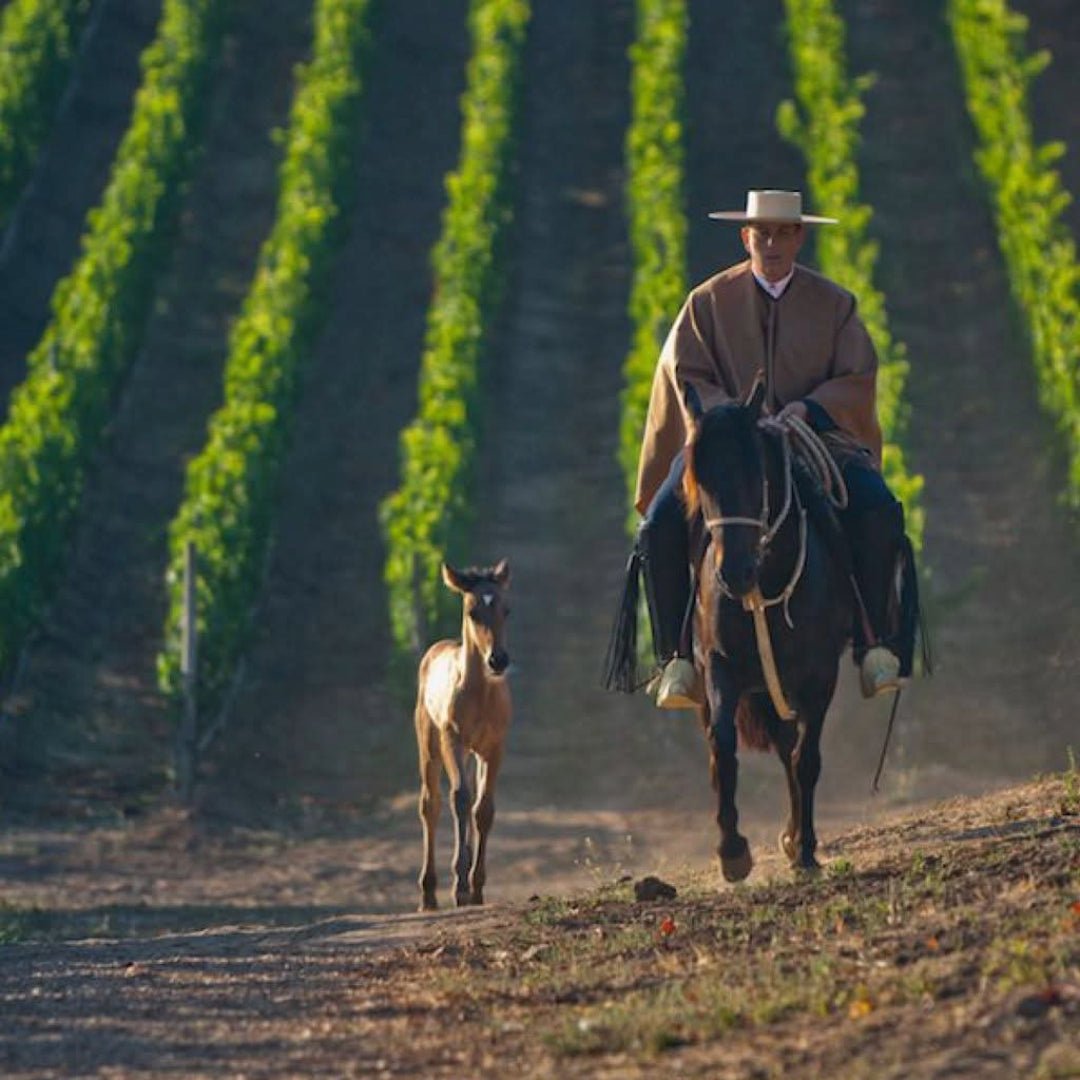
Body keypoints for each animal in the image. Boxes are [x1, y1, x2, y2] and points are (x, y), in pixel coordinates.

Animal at [414, 557, 511, 911]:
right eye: (473, 611)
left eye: (507, 609)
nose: (498, 659)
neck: (480, 694)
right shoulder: (451, 741)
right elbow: (459, 799)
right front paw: (459, 885)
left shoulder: (494, 748)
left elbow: (483, 809)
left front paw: (477, 887)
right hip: (430, 744)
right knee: (431, 804)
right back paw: (429, 894)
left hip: (471, 752)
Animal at [682, 384, 851, 881]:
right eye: (700, 479)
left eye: (754, 473)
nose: (734, 573)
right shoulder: (721, 667)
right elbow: (723, 748)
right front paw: (732, 850)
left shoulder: (819, 678)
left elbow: (808, 760)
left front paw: (808, 849)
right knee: (781, 746)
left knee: (793, 753)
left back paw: (797, 841)